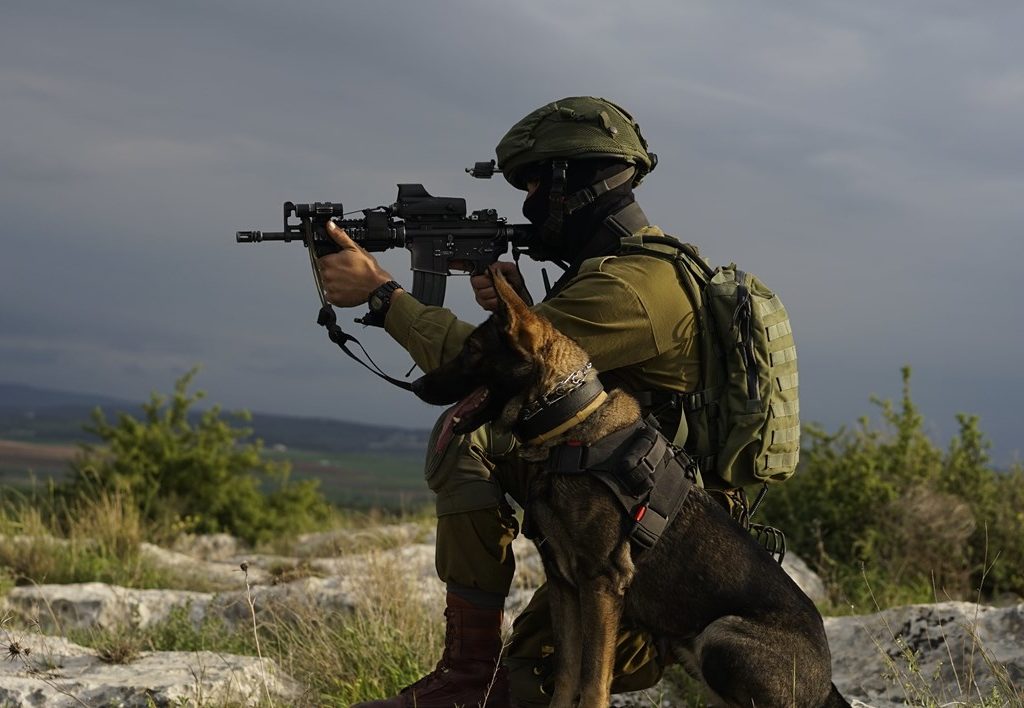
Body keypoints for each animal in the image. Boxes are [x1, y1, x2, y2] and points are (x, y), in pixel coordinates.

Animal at [407, 268, 847, 704]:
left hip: (719, 636)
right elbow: (566, 675)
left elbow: (591, 681)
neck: (567, 425)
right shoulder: (564, 586)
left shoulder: (602, 583)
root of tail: (827, 684)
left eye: (471, 349)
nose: (417, 388)